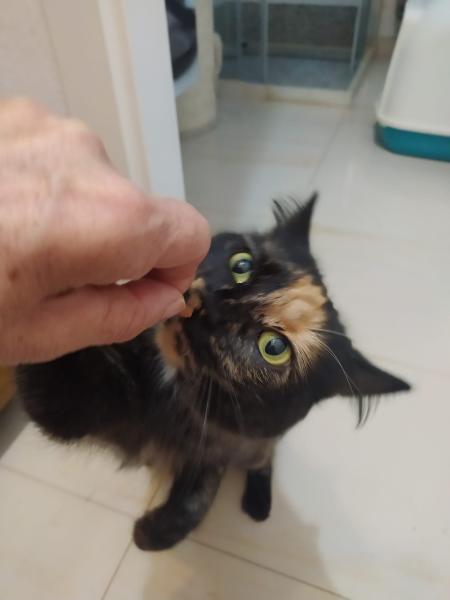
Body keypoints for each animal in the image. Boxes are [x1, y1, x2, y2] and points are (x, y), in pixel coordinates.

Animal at [17, 194, 410, 551]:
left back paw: (257, 505)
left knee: (262, 460)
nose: (213, 300)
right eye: (242, 264)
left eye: (274, 348)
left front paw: (154, 531)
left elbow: (201, 491)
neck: (170, 399)